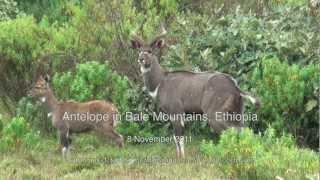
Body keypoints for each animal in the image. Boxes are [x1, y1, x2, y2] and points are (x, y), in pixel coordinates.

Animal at [130, 27, 260, 158]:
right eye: (139, 51)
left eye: (150, 51)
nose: (141, 59)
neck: (160, 83)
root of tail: (235, 87)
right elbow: (176, 137)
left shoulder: (176, 111)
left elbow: (179, 137)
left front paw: (182, 157)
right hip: (237, 112)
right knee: (244, 130)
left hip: (215, 114)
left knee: (229, 131)